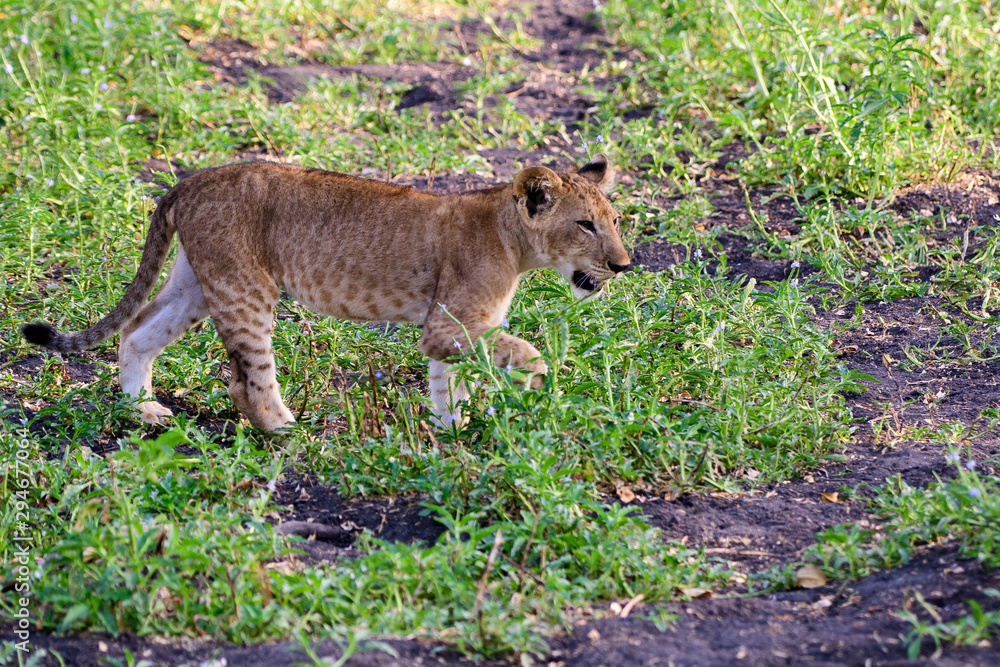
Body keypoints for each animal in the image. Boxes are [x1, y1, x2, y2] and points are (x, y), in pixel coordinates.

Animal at [23, 155, 630, 431]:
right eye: (585, 226)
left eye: (615, 221)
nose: (623, 265)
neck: (511, 238)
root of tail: (191, 180)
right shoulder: (448, 323)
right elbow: (523, 354)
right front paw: (533, 387)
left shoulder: (444, 332)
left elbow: (446, 383)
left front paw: (450, 430)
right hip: (246, 290)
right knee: (246, 379)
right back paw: (285, 429)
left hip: (198, 283)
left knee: (136, 330)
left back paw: (142, 409)